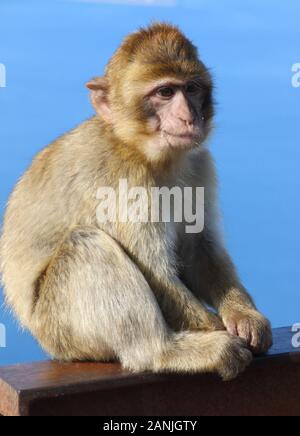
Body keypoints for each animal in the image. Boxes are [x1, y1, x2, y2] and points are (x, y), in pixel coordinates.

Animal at [0, 23, 272, 380]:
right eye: (165, 93)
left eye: (191, 89)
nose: (189, 117)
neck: (145, 152)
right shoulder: (127, 181)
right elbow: (155, 270)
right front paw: (214, 330)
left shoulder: (200, 162)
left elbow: (198, 247)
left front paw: (244, 317)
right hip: (62, 331)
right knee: (85, 245)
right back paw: (167, 351)